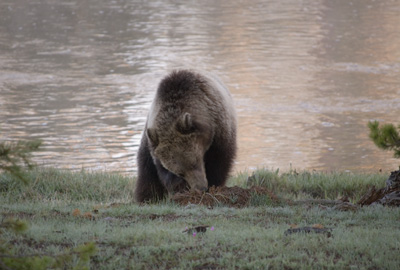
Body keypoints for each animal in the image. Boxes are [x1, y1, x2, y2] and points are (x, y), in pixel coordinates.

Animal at [136, 69, 238, 202]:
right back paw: (147, 198)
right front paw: (181, 190)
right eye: (180, 173)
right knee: (146, 174)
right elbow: (163, 175)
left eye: (196, 162)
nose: (201, 188)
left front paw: (213, 186)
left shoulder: (219, 130)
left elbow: (219, 162)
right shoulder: (155, 151)